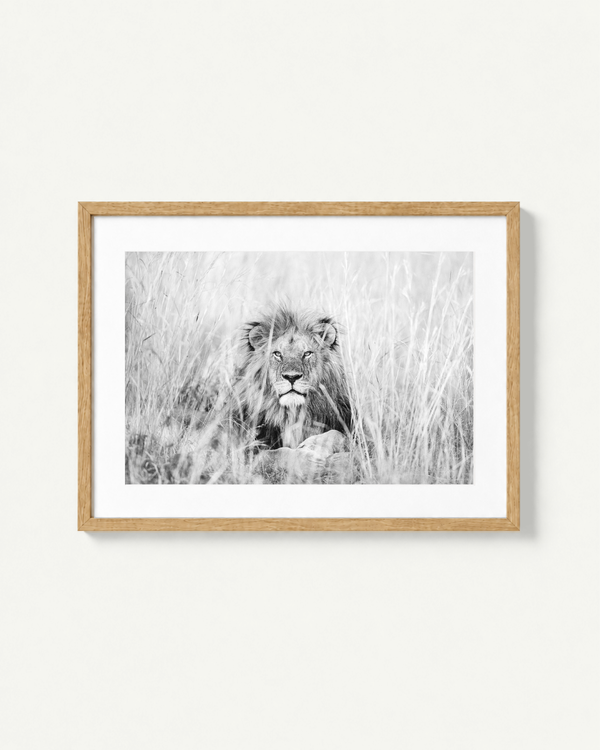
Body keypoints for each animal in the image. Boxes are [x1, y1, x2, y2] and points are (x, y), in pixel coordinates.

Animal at [232, 306, 353, 451]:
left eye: (307, 354)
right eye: (277, 354)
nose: (291, 377)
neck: (293, 414)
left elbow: (337, 434)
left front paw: (312, 444)